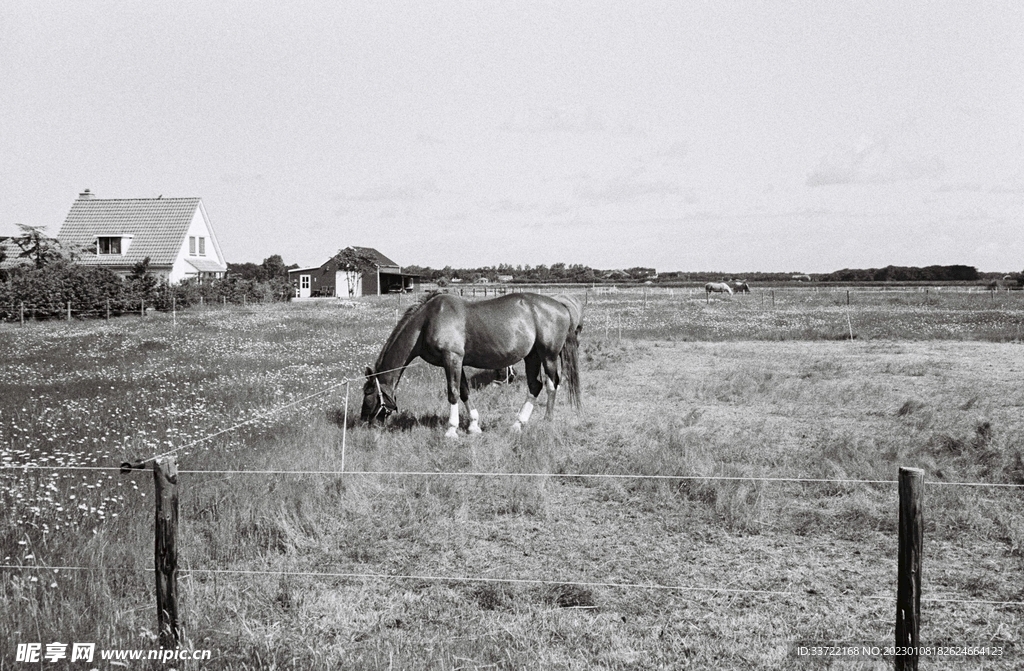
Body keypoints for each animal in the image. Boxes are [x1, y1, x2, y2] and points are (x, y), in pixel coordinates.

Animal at [361, 291, 583, 438]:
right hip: (532, 356)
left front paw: (451, 430)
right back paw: (517, 425)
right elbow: (464, 391)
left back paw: (547, 421)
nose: (364, 424)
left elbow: (452, 392)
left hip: (548, 356)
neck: (427, 321)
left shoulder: (452, 358)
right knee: (535, 386)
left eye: (368, 396)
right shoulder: (455, 362)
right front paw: (474, 426)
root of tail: (560, 305)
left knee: (551, 385)